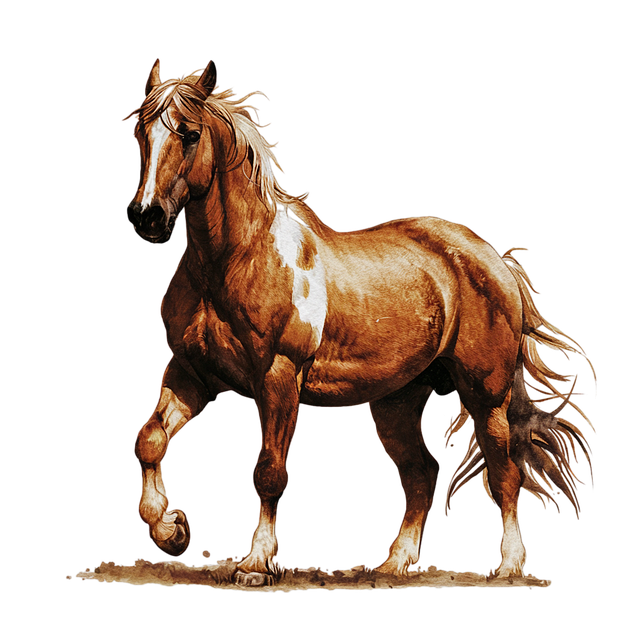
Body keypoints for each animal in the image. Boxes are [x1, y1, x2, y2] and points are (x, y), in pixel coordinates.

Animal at [123, 59, 596, 586]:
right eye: (141, 133)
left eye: (188, 134)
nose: (147, 217)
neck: (237, 259)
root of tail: (494, 261)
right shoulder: (193, 374)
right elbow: (150, 441)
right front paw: (172, 530)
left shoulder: (279, 379)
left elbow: (269, 471)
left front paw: (256, 564)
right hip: (396, 401)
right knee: (421, 474)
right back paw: (395, 564)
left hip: (484, 394)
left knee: (504, 470)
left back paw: (508, 566)